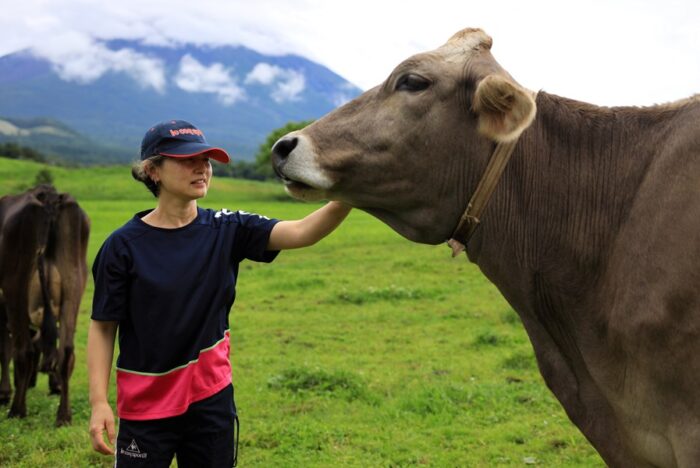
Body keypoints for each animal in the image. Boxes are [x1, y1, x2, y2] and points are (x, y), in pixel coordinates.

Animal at [0, 185, 90, 426]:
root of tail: (49, 196)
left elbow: (5, 350)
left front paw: (4, 393)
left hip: (15, 289)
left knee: (24, 351)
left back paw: (17, 410)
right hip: (74, 284)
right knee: (65, 351)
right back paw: (64, 416)